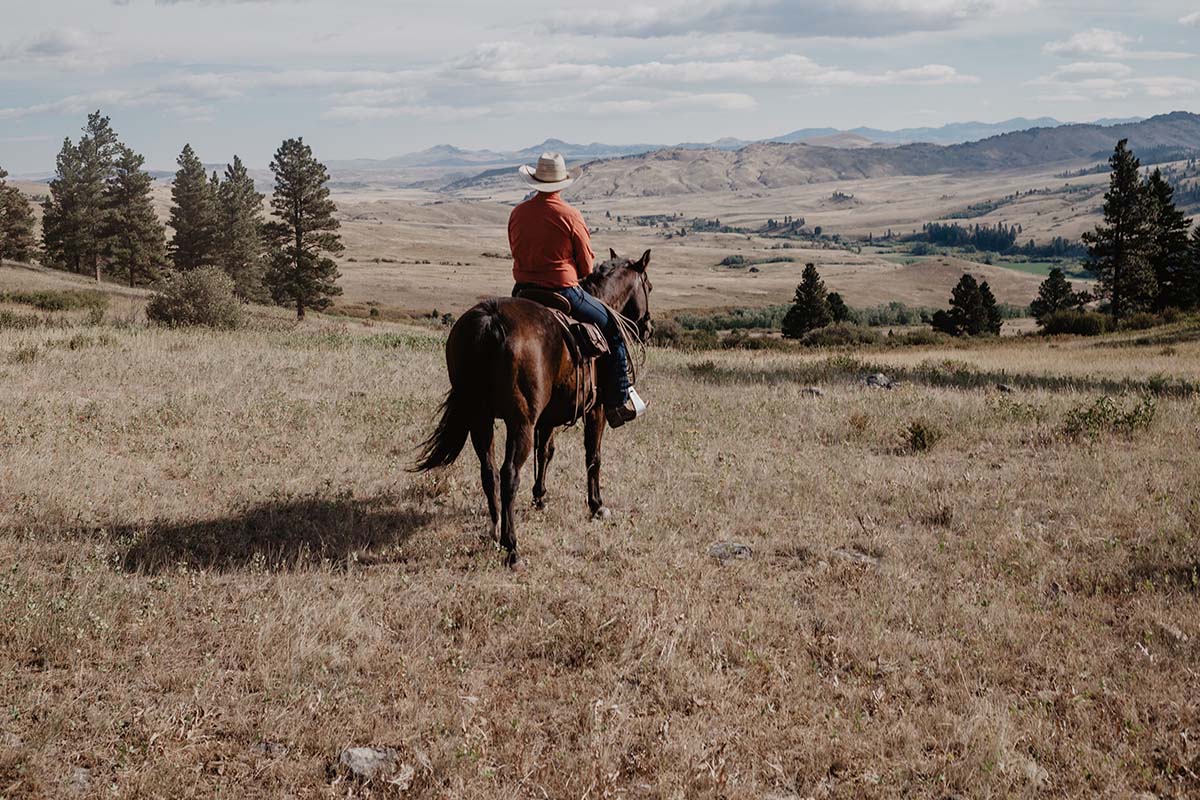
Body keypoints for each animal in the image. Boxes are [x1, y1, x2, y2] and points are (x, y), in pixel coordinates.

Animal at [412, 250, 657, 568]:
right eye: (648, 287)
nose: (648, 327)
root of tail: (491, 320)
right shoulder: (597, 409)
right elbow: (593, 456)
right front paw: (597, 506)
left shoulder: (547, 417)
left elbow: (546, 452)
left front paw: (540, 497)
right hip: (520, 423)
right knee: (508, 475)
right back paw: (512, 547)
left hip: (481, 418)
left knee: (489, 472)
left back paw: (495, 530)